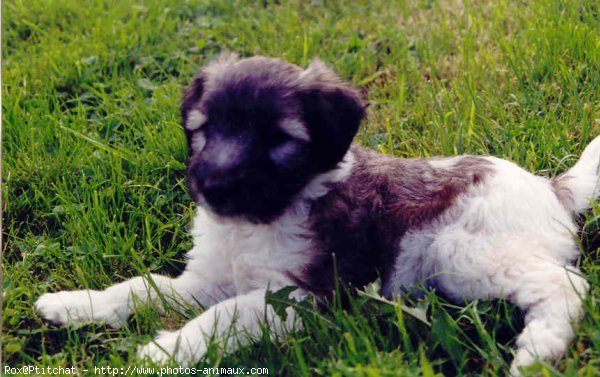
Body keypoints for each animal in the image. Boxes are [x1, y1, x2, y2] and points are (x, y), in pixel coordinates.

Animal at [37, 53, 600, 376]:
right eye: (204, 129)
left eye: (277, 140)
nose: (213, 187)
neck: (256, 224)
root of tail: (550, 189)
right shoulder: (207, 280)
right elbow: (140, 287)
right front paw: (76, 304)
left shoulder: (298, 298)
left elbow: (222, 316)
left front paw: (165, 351)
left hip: (462, 251)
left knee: (567, 286)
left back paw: (538, 351)